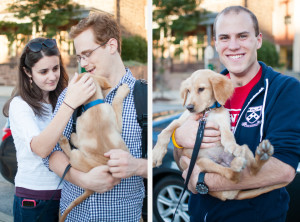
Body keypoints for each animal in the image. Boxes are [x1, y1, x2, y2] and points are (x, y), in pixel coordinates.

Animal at [58, 73, 129, 221]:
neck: (93, 106)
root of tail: (91, 189)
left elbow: (116, 102)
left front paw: (122, 90)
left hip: (77, 156)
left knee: (70, 153)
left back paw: (64, 141)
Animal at [154, 70, 288, 201]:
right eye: (188, 91)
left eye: (201, 89)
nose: (189, 107)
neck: (207, 112)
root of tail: (230, 195)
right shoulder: (180, 122)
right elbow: (165, 132)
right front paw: (156, 155)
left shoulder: (223, 125)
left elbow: (228, 137)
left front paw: (233, 146)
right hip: (203, 162)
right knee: (234, 175)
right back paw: (241, 163)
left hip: (239, 152)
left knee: (250, 172)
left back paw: (259, 154)